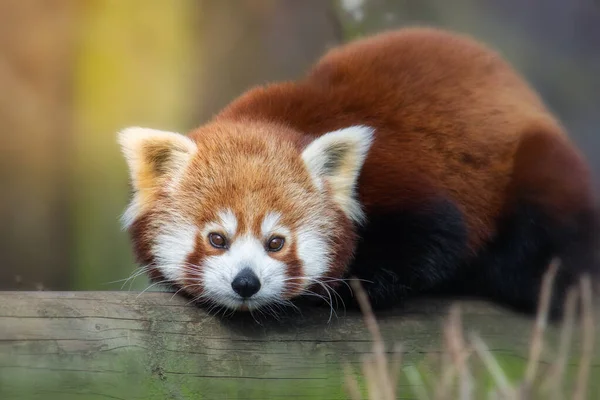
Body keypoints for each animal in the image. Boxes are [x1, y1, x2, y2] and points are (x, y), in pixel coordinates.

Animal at [116, 26, 596, 318]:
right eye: (216, 239)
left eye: (277, 242)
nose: (246, 283)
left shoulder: (403, 182)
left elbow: (435, 238)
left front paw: (342, 287)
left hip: (536, 172)